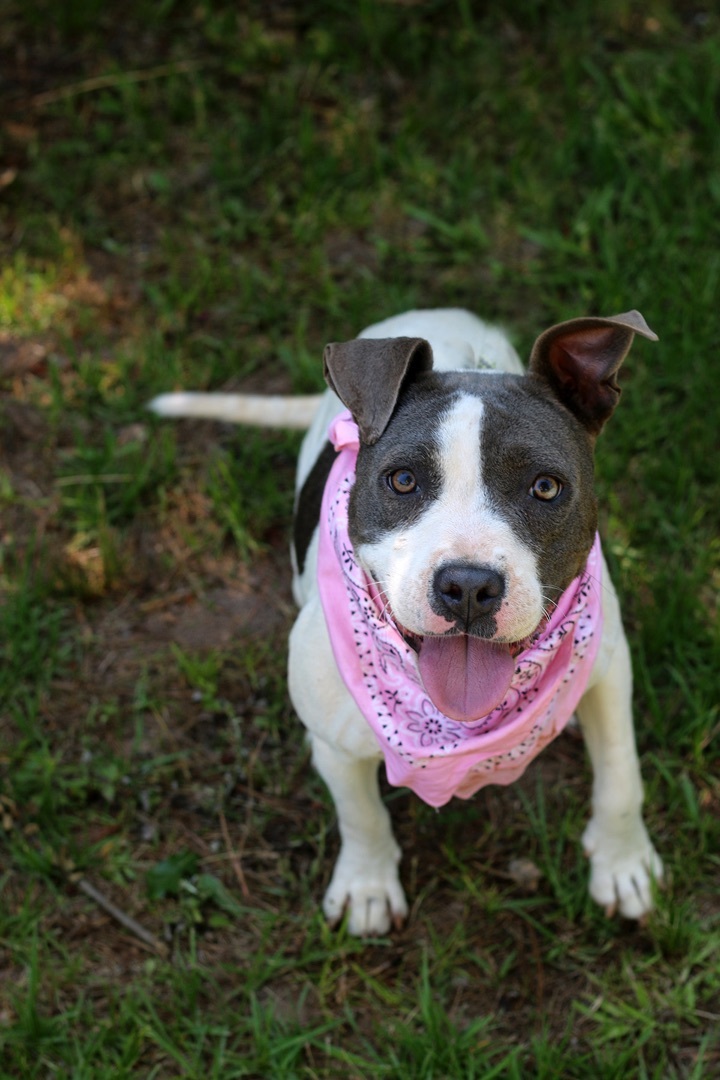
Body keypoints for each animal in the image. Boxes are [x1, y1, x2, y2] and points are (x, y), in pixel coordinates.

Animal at [152, 306, 664, 937]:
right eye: (402, 480)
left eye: (546, 487)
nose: (467, 587)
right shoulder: (336, 740)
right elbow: (360, 814)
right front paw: (366, 885)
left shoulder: (610, 669)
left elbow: (621, 773)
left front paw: (624, 863)